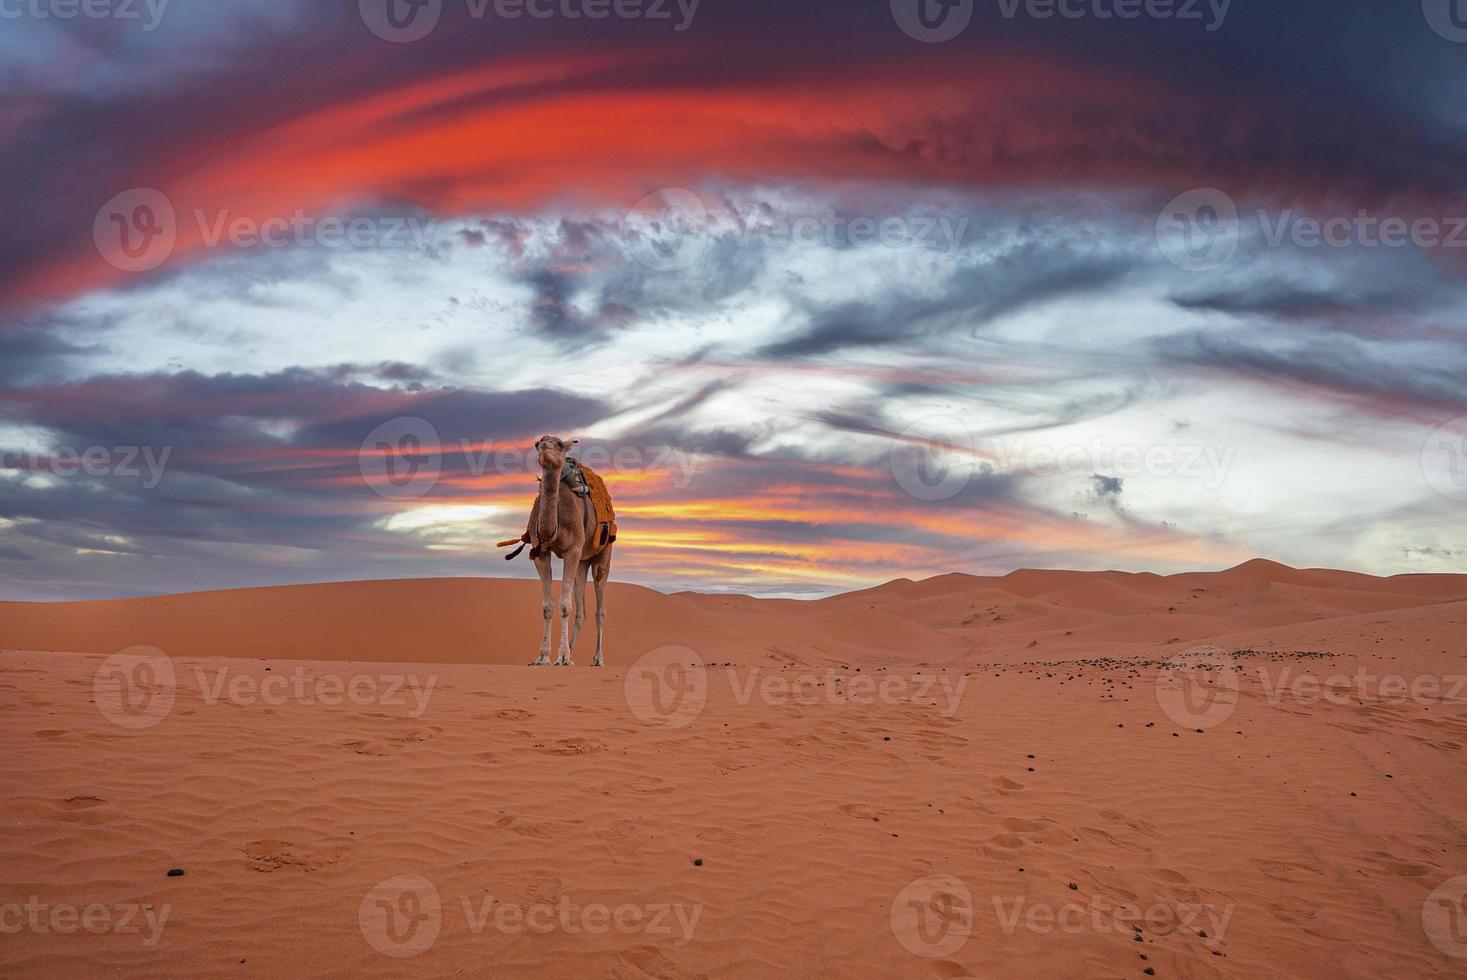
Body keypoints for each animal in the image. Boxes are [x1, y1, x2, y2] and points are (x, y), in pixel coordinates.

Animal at [519, 437, 610, 666]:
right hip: (583, 560)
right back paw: (571, 650)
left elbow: (564, 606)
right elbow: (548, 606)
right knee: (581, 608)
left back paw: (597, 658)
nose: (544, 446)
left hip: (603, 553)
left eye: (559, 444)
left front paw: (562, 656)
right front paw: (543, 656)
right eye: (537, 443)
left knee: (600, 609)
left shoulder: (572, 550)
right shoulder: (541, 553)